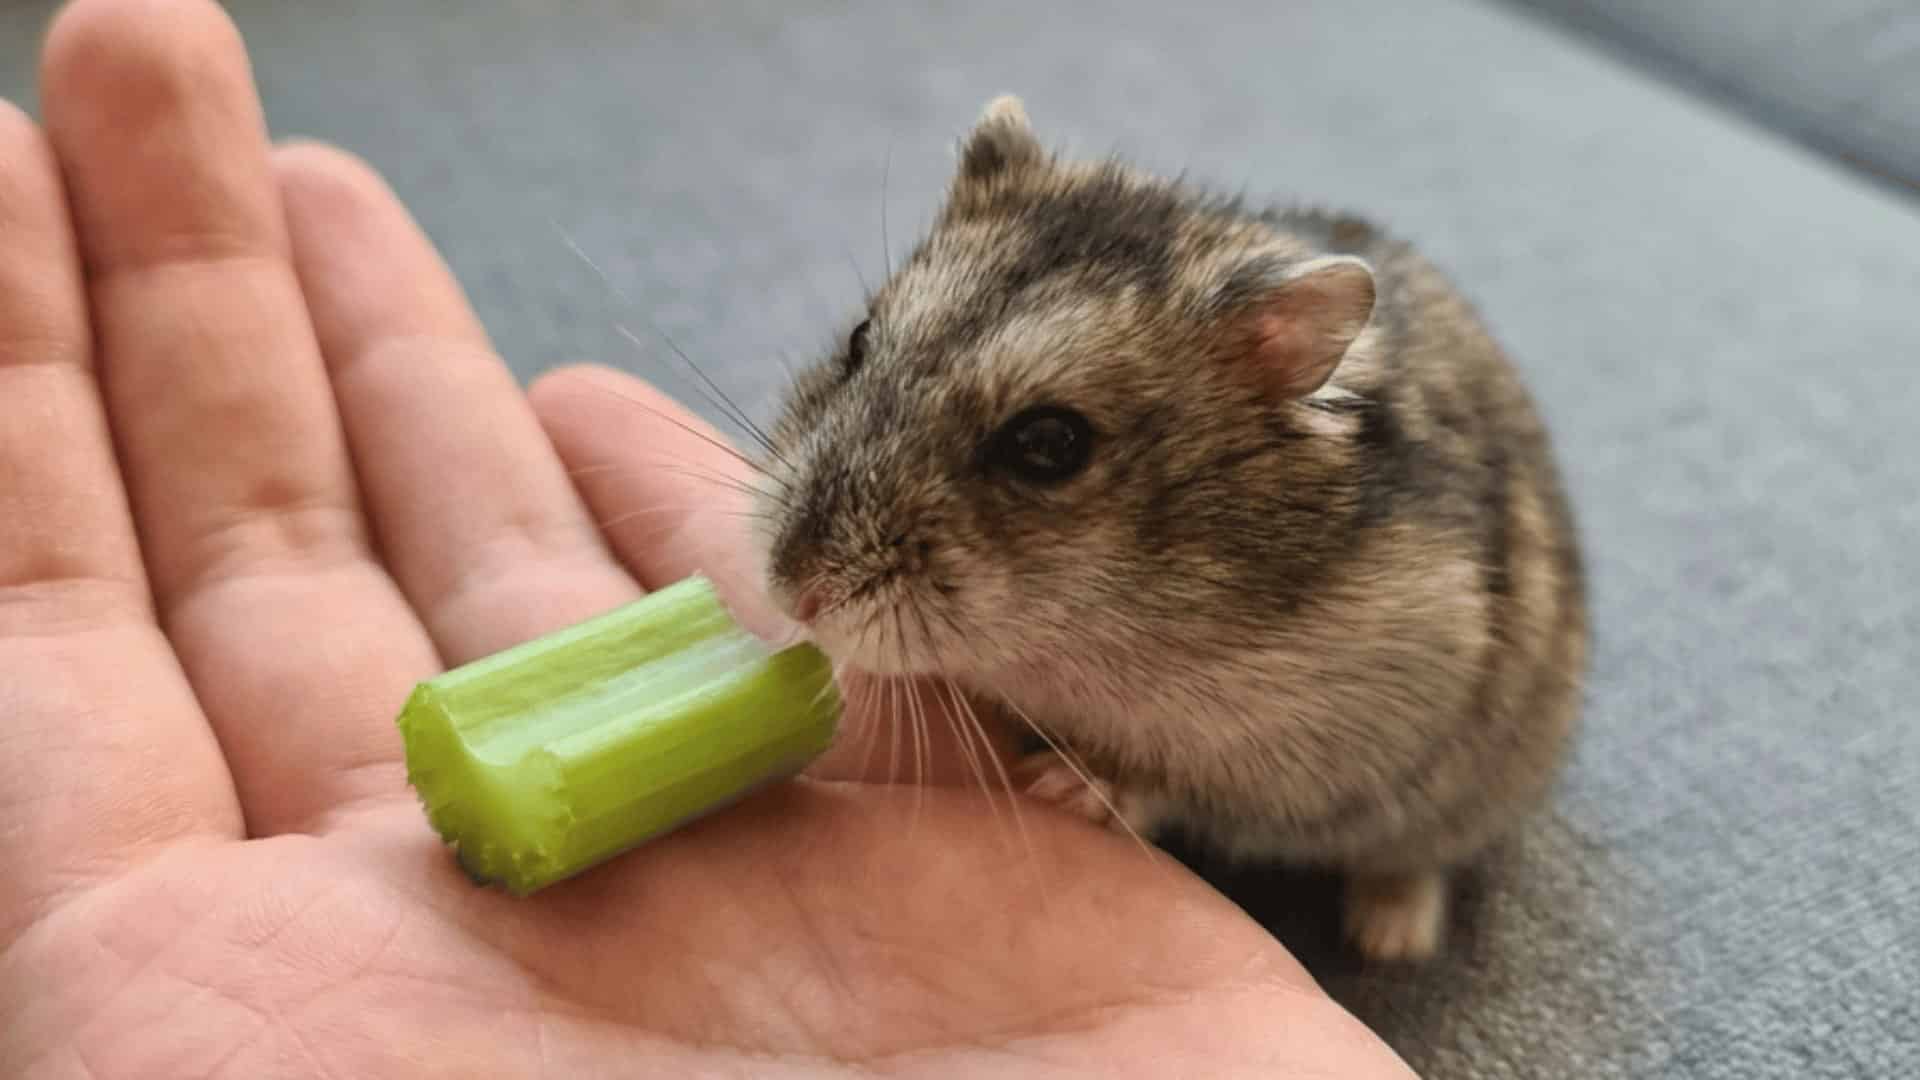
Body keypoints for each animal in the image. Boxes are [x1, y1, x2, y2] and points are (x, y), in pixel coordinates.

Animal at [751, 96, 1589, 963]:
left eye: (1049, 444)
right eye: (858, 340)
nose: (792, 589)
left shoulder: (1312, 745)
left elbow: (1169, 781)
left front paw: (1065, 783)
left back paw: (1391, 935)